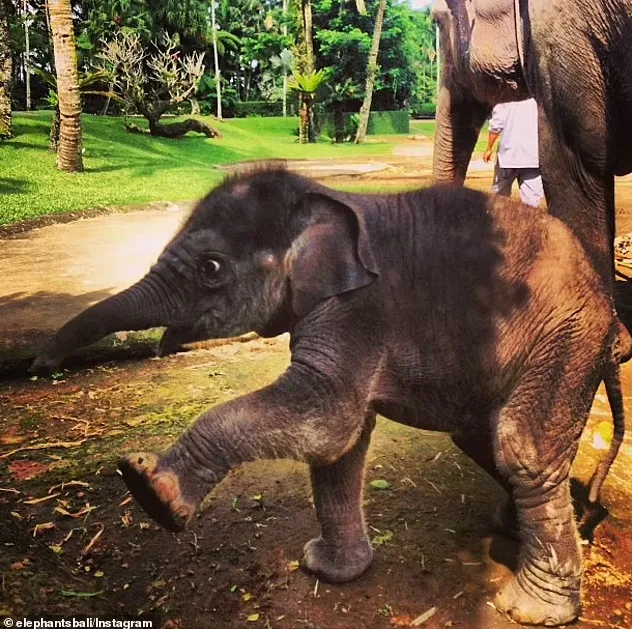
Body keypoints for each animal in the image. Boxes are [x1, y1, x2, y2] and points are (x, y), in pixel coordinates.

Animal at [34, 169, 628, 624]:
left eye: (211, 268)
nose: (42, 365)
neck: (322, 196)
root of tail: (609, 308)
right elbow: (339, 440)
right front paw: (327, 569)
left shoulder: (357, 308)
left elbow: (329, 416)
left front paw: (150, 490)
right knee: (482, 440)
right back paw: (535, 524)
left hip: (566, 338)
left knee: (521, 449)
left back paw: (529, 608)